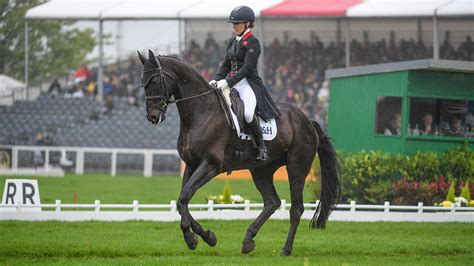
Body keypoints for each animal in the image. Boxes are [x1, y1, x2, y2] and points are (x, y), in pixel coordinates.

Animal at [137, 49, 340, 256]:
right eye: (143, 83)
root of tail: (308, 120)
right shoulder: (192, 165)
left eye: (155, 81)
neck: (202, 110)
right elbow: (181, 201)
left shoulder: (211, 165)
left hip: (296, 168)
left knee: (296, 208)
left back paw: (286, 249)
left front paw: (192, 238)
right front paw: (206, 236)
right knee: (272, 202)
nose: (152, 116)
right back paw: (248, 240)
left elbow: (185, 196)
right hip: (261, 170)